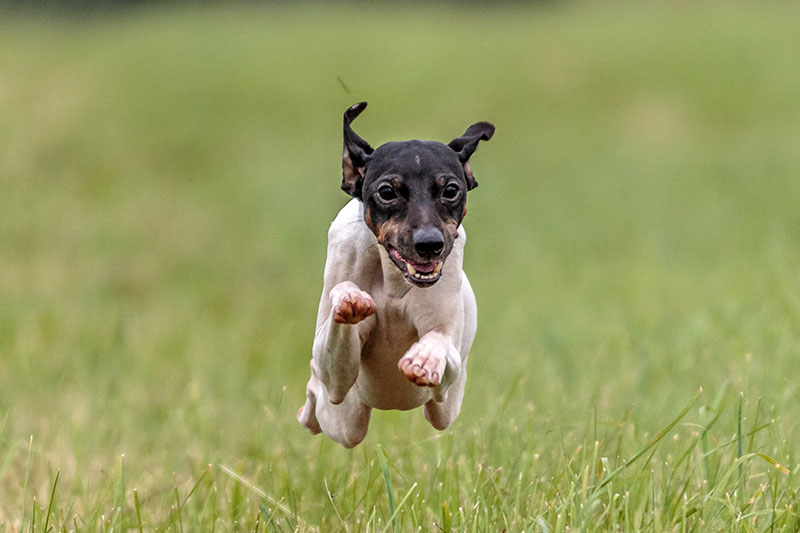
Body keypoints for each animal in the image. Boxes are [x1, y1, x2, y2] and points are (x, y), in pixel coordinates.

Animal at [296, 102, 490, 446]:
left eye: (451, 189)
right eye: (387, 191)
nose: (430, 244)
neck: (393, 281)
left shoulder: (447, 375)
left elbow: (441, 343)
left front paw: (424, 358)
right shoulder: (337, 378)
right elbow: (332, 366)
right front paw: (349, 297)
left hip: (445, 408)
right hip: (345, 420)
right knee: (318, 395)